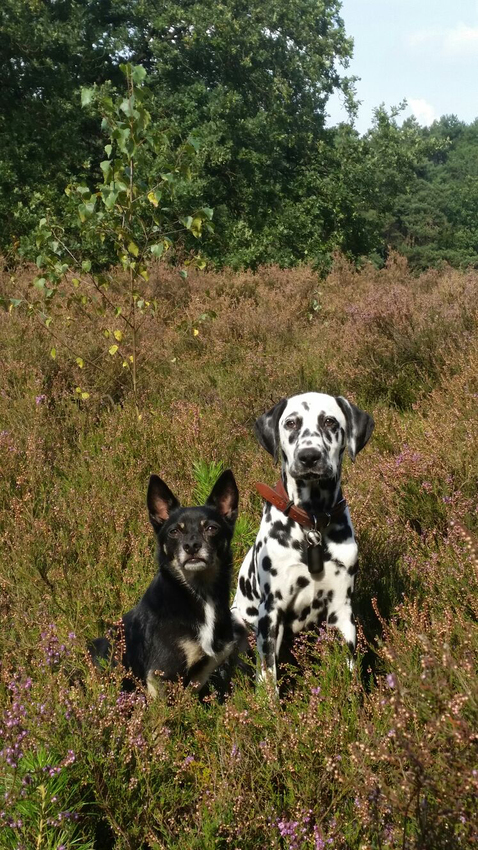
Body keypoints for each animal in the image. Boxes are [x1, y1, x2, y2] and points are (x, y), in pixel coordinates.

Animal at [90, 469, 243, 697]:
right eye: (174, 531)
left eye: (211, 528)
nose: (191, 546)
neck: (198, 593)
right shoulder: (162, 674)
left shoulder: (201, 672)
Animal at [232, 392, 374, 685]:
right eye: (291, 423)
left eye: (330, 421)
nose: (309, 456)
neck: (312, 521)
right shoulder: (270, 614)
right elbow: (268, 678)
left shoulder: (342, 611)